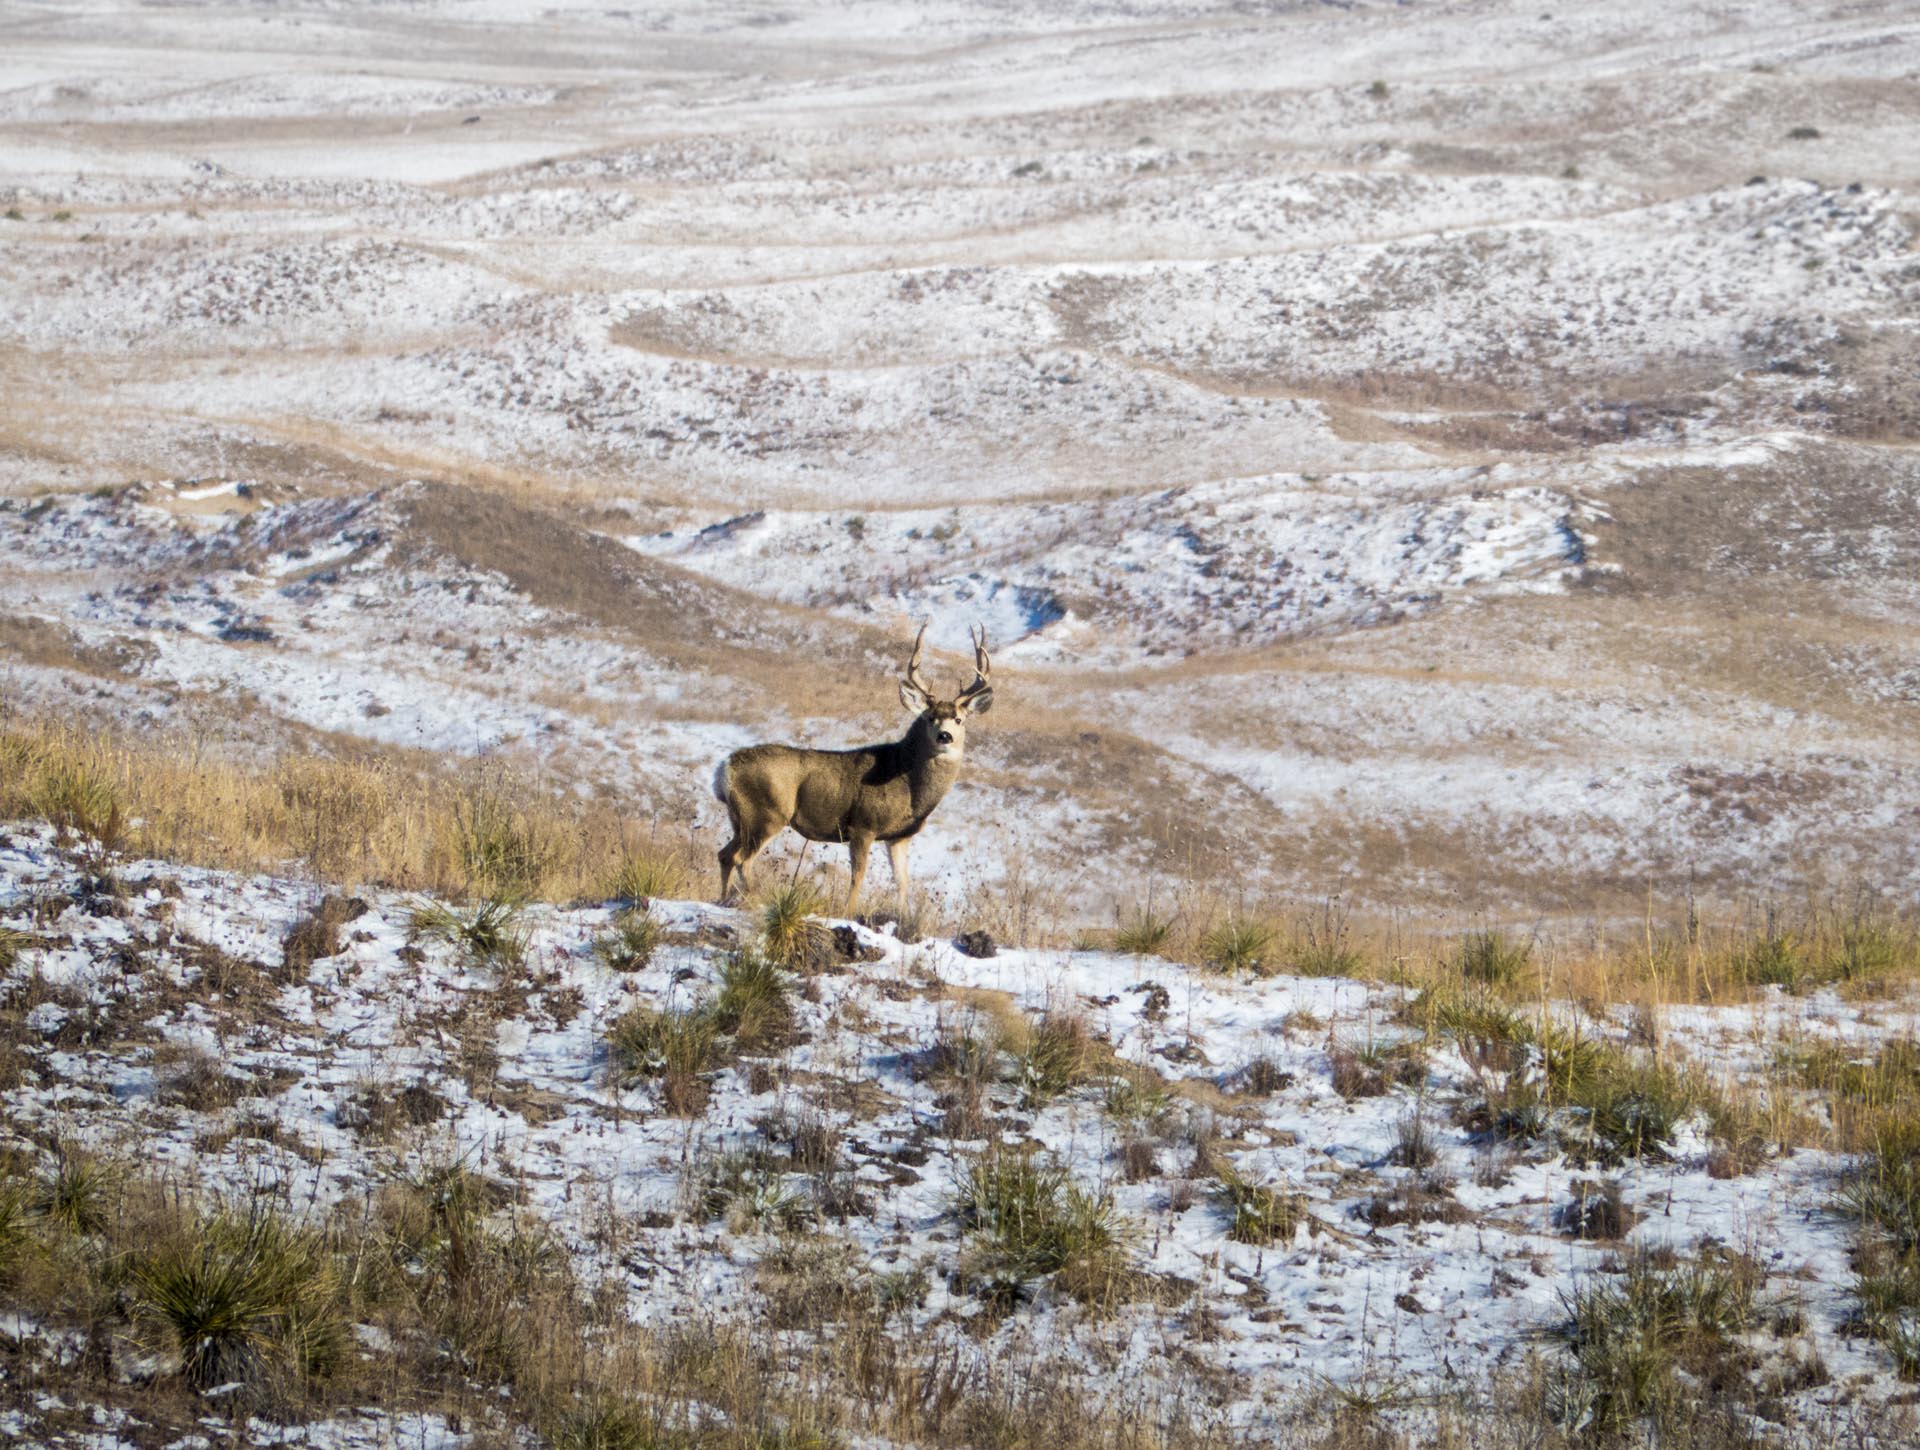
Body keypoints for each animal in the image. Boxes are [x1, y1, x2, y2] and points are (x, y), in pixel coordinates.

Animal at [712, 624, 993, 915]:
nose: (945, 736)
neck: (907, 780)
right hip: (766, 814)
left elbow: (902, 881)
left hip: (741, 818)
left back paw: (724, 899)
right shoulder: (863, 824)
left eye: (959, 719)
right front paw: (848, 912)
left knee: (725, 854)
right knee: (742, 858)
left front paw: (903, 916)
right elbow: (858, 874)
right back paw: (753, 900)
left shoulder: (899, 837)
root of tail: (725, 768)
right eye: (930, 717)